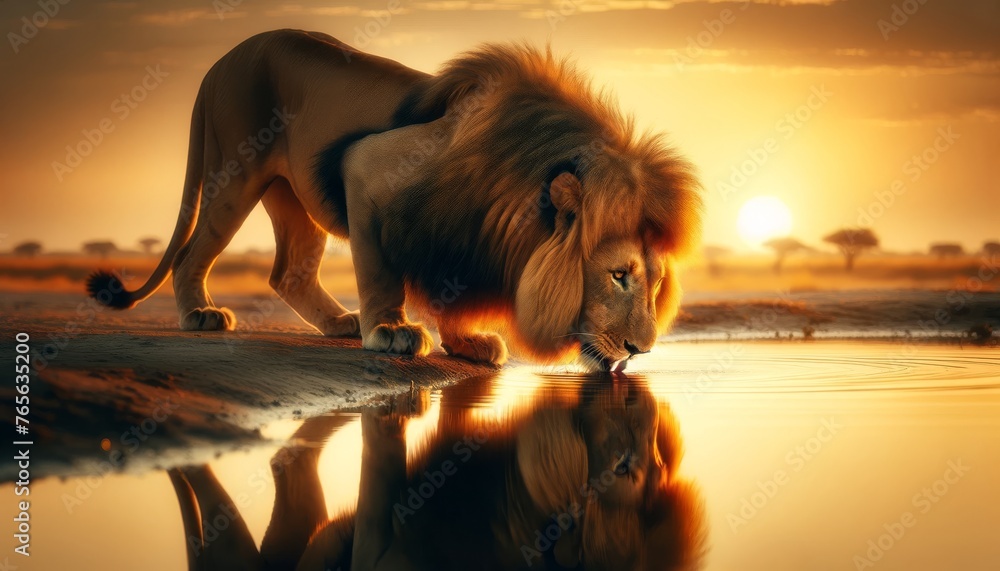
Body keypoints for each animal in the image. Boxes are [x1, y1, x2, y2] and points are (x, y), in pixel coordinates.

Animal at [87, 29, 702, 370]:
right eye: (619, 276)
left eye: (657, 284)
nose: (642, 351)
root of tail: (218, 63)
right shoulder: (365, 168)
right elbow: (382, 274)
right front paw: (389, 331)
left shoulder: (464, 237)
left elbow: (454, 294)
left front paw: (468, 342)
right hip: (236, 172)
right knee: (193, 253)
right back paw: (200, 314)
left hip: (292, 193)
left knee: (289, 272)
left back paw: (338, 323)